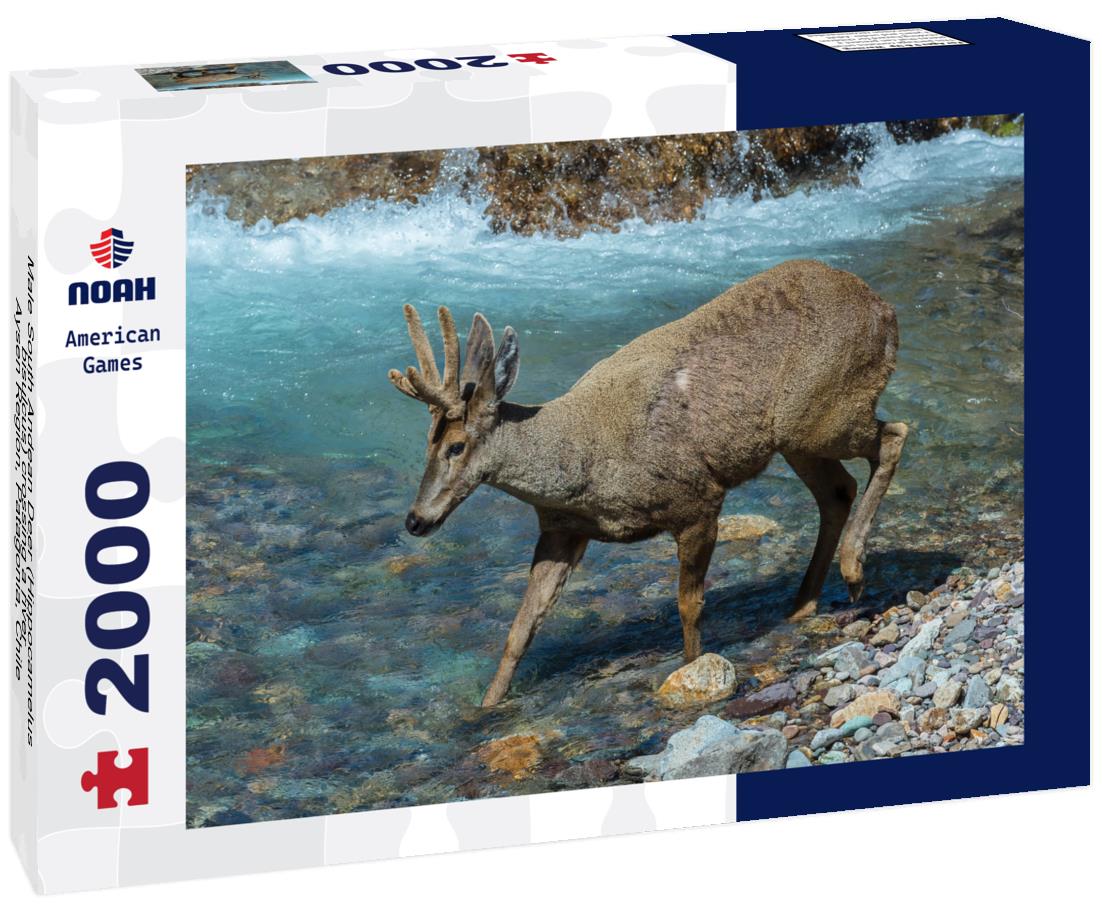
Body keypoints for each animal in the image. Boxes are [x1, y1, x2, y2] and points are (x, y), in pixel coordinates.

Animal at [388, 259, 907, 707]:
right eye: (426, 444)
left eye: (456, 446)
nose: (415, 520)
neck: (580, 466)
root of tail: (884, 308)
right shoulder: (559, 529)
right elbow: (520, 629)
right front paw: (486, 706)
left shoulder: (698, 498)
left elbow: (689, 605)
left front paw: (695, 668)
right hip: (798, 435)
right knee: (838, 490)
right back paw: (803, 604)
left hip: (819, 413)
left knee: (895, 435)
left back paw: (854, 570)